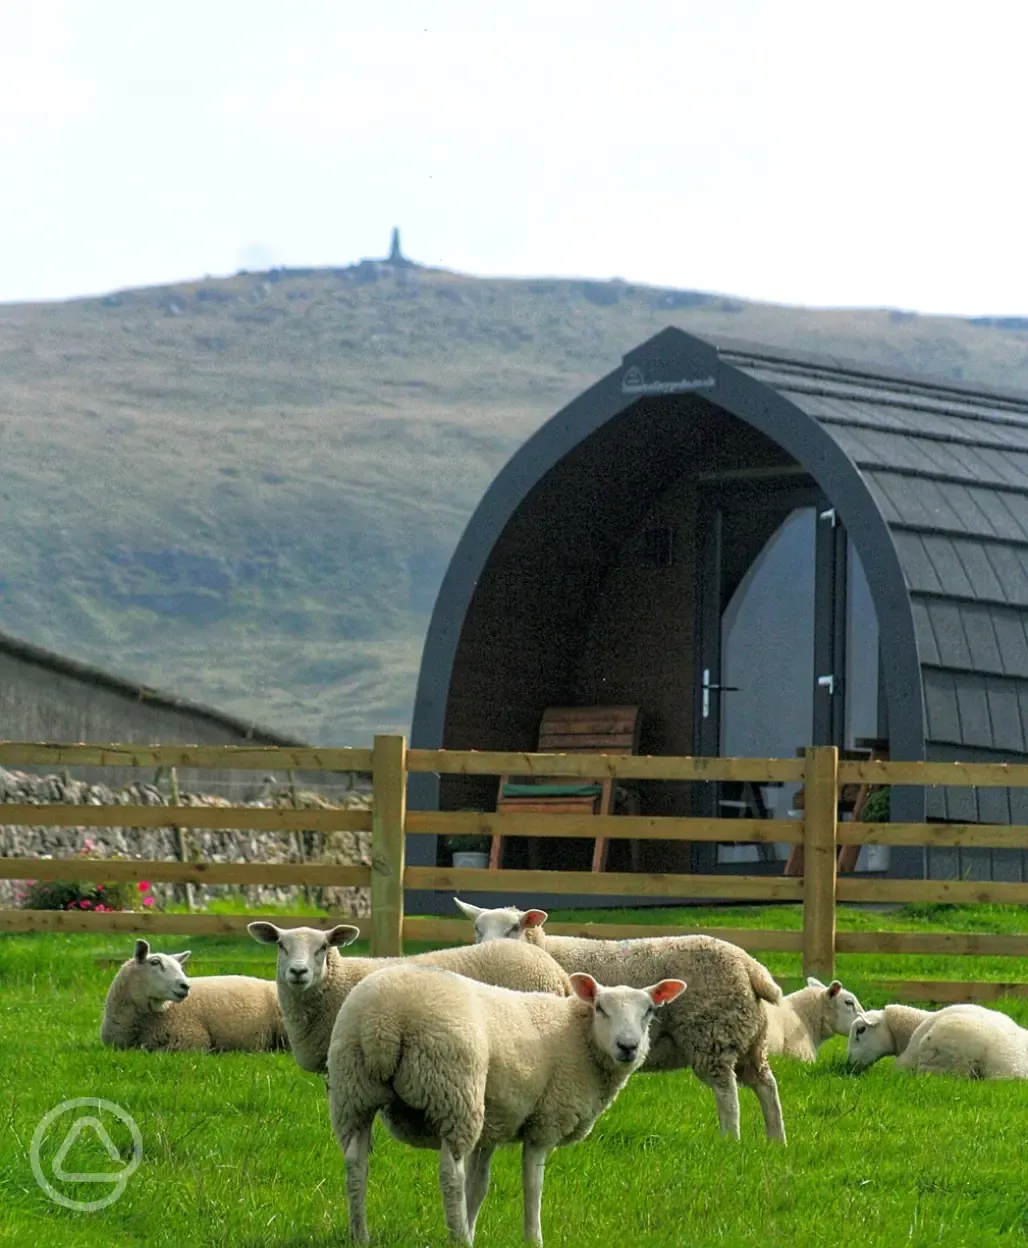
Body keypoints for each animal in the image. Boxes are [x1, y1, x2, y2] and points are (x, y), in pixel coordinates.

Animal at [324, 958, 688, 1243]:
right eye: (600, 1008)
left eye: (649, 1011)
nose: (628, 1047)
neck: (579, 1037)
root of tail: (383, 1021)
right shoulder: (544, 1122)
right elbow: (532, 1185)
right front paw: (532, 1238)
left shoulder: (494, 1122)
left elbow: (479, 1185)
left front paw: (472, 1225)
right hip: (454, 1092)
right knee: (451, 1177)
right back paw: (458, 1240)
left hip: (352, 1090)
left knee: (356, 1166)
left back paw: (360, 1235)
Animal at [456, 898, 788, 1143]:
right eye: (476, 928)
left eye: (514, 928)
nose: (486, 947)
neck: (546, 949)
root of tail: (750, 965)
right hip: (748, 1038)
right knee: (766, 1085)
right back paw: (776, 1141)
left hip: (711, 1033)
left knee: (726, 1091)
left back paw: (729, 1139)